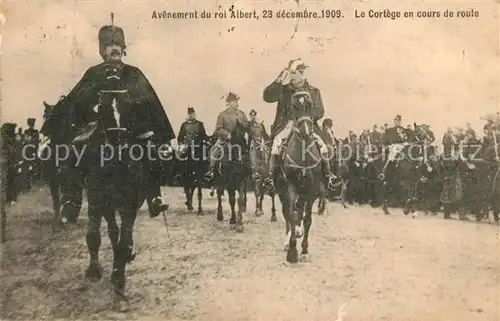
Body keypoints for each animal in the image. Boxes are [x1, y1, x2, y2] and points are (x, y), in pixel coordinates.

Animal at [276, 91, 322, 264]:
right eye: (294, 106)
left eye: (310, 105)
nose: (306, 132)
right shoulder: (290, 187)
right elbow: (292, 215)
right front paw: (292, 252)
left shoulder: (312, 189)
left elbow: (307, 219)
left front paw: (304, 250)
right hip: (281, 189)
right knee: (287, 212)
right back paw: (288, 239)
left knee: (298, 211)